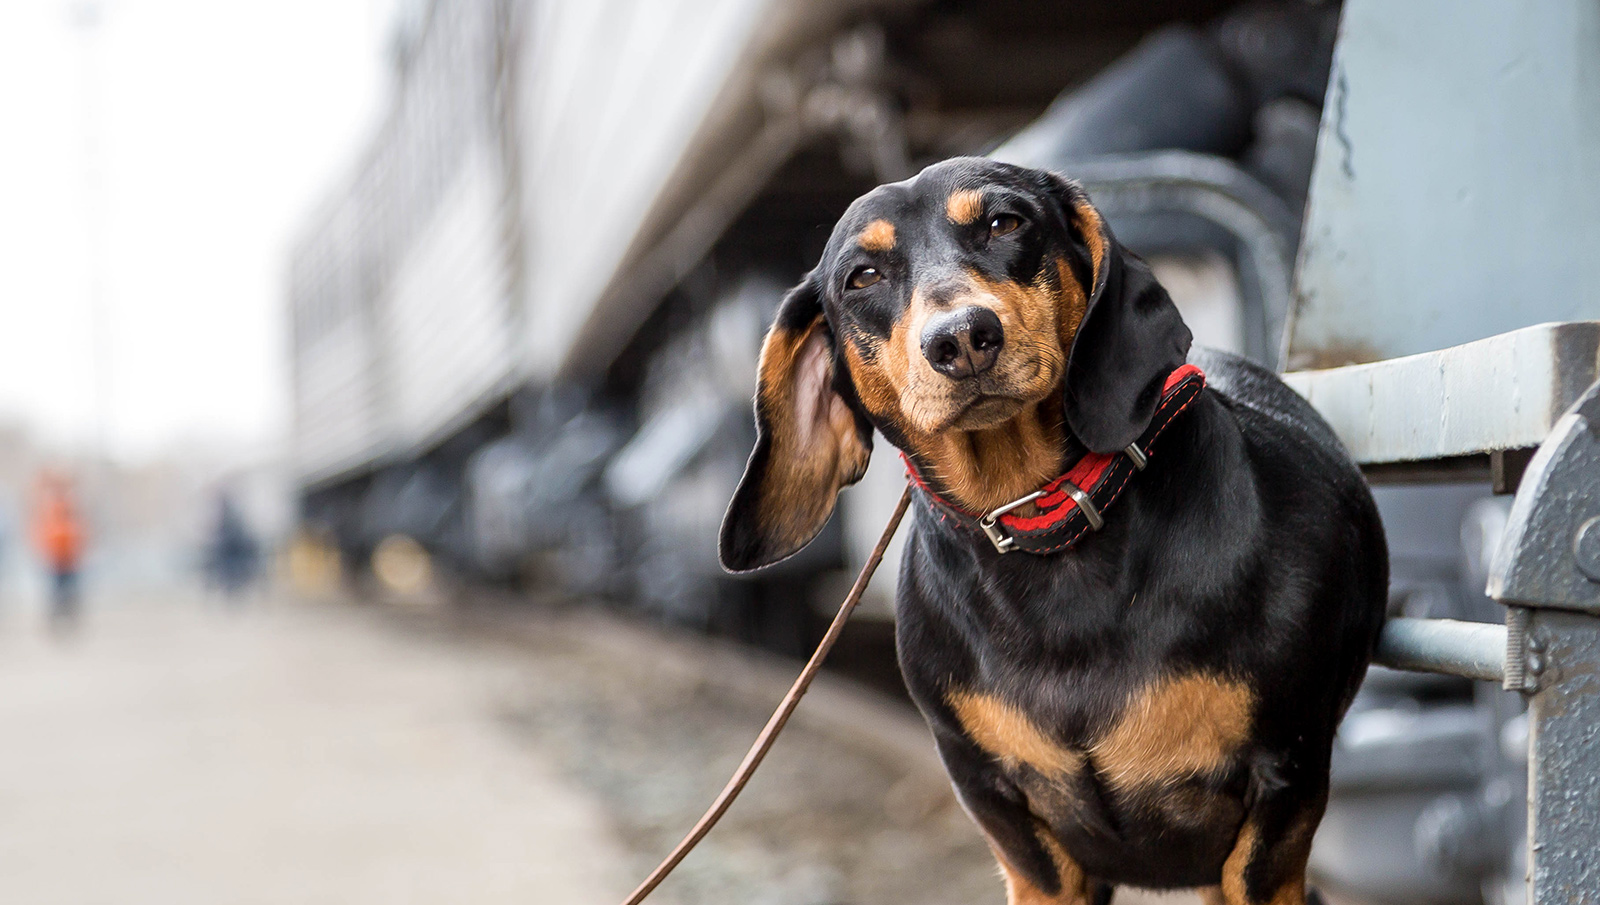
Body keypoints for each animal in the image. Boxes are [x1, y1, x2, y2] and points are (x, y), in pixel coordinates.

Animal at [720, 159, 1382, 901]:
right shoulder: (1007, 818)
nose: (960, 339)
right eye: (861, 277)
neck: (1042, 522)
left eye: (1004, 222)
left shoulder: (1283, 789)